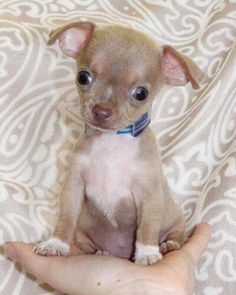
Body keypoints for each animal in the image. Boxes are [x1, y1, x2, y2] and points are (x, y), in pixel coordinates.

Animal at [33, 21, 203, 266]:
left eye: (141, 93)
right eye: (83, 77)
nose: (101, 111)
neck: (112, 141)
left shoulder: (149, 194)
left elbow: (147, 227)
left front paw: (147, 254)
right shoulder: (73, 186)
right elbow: (65, 218)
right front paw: (56, 244)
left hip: (175, 220)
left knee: (176, 234)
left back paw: (169, 245)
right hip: (84, 231)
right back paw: (99, 252)